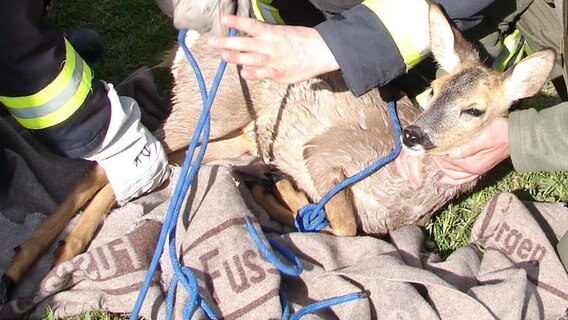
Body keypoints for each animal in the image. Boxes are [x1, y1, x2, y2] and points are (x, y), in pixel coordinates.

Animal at [0, 3, 552, 302]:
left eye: (474, 110)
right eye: (434, 89)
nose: (413, 135)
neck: (405, 188)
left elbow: (342, 225)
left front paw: (281, 196)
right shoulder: (324, 152)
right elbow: (345, 225)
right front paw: (285, 194)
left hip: (236, 135)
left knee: (154, 170)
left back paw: (49, 258)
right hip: (204, 107)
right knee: (112, 163)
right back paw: (46, 258)